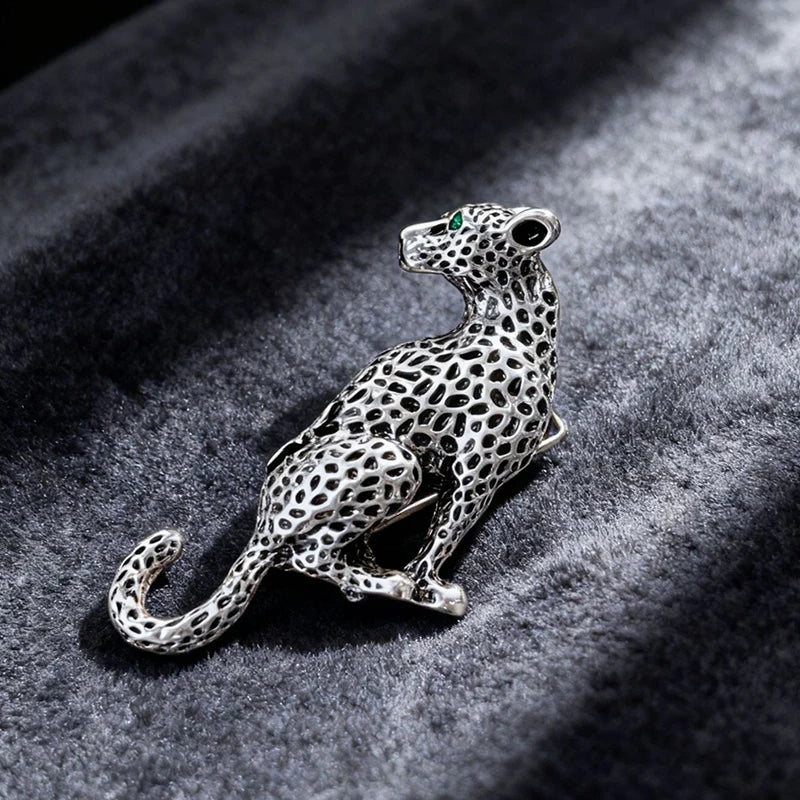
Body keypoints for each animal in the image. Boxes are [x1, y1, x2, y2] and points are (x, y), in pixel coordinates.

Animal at [108, 203, 567, 654]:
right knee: (310, 557)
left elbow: (441, 533)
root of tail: (263, 521)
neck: (507, 328)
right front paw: (430, 590)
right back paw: (390, 583)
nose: (404, 237)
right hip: (392, 459)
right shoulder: (474, 479)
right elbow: (441, 539)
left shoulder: (473, 477)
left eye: (454, 223)